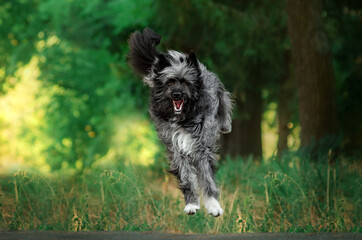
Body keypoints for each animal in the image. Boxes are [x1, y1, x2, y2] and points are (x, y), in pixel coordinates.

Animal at [129, 28, 233, 218]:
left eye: (185, 82)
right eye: (170, 82)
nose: (177, 94)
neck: (184, 117)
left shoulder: (201, 146)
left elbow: (207, 177)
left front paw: (213, 205)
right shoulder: (177, 148)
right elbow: (187, 178)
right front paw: (192, 203)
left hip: (220, 96)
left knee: (225, 107)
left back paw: (226, 125)